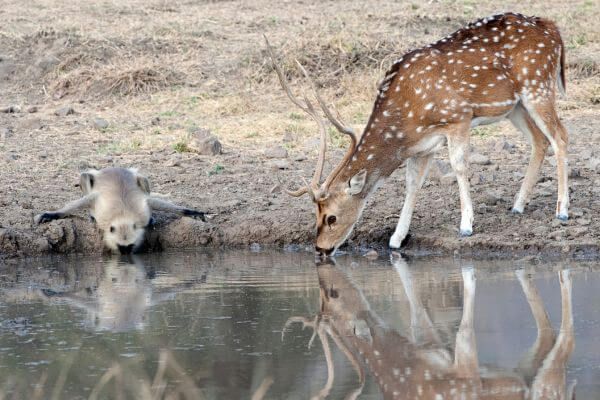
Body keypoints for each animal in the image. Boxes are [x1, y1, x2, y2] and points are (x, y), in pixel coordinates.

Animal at [270, 13, 568, 256]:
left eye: (331, 217)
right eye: (315, 214)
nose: (321, 248)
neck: (407, 118)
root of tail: (554, 30)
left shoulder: (458, 118)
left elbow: (459, 166)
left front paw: (466, 226)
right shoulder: (423, 145)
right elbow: (413, 183)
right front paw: (396, 239)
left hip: (538, 86)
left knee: (561, 136)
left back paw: (562, 210)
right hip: (515, 106)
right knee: (540, 140)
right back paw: (518, 205)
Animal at [284, 258, 576, 398]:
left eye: (333, 295)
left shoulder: (466, 381)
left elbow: (464, 331)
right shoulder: (432, 344)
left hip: (547, 387)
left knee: (564, 343)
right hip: (528, 370)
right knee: (546, 336)